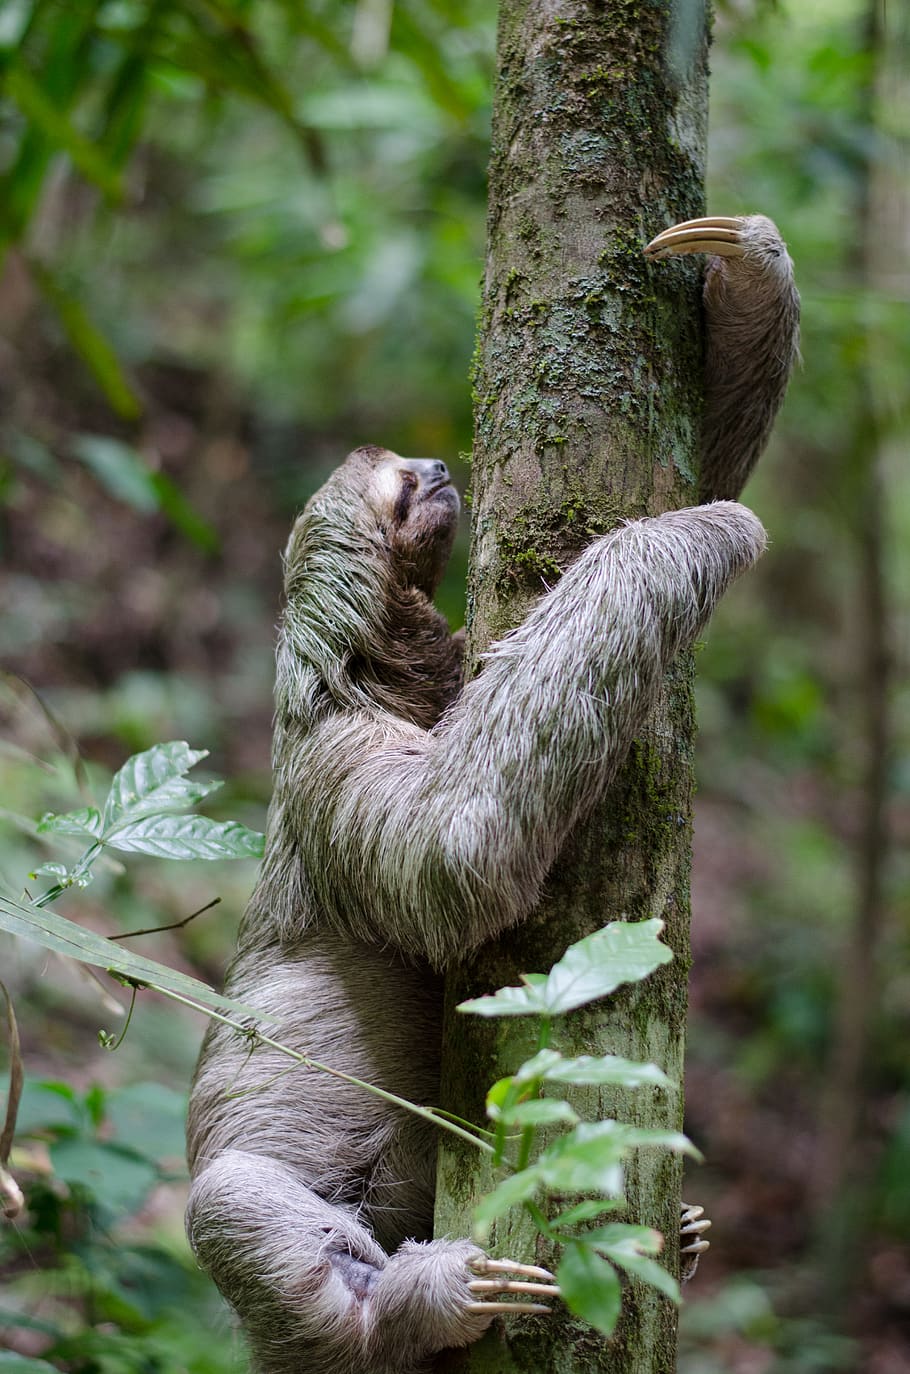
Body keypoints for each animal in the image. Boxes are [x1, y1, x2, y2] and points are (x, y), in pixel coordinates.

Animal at [185, 214, 799, 1374]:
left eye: (416, 466)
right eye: (397, 489)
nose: (435, 460)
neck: (382, 676)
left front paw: (747, 268)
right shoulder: (340, 760)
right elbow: (452, 848)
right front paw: (713, 530)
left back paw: (689, 1231)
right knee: (233, 1203)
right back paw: (422, 1298)